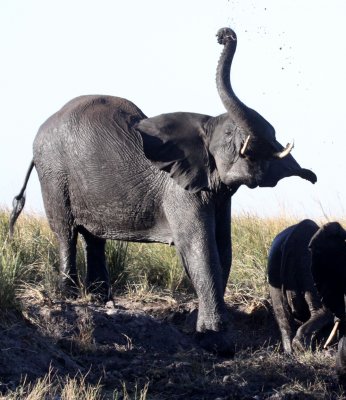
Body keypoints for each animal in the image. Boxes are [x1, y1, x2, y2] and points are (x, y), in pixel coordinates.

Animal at [9, 26, 316, 354]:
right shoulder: (180, 192)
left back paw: (100, 298)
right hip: (54, 172)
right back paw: (70, 295)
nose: (224, 34)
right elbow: (200, 248)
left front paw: (201, 328)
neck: (202, 125)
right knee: (65, 231)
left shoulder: (218, 193)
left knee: (94, 238)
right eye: (230, 135)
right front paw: (215, 339)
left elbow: (222, 248)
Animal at [268, 222, 346, 384]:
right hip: (308, 266)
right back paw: (304, 352)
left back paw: (291, 354)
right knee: (323, 311)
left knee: (282, 314)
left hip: (275, 268)